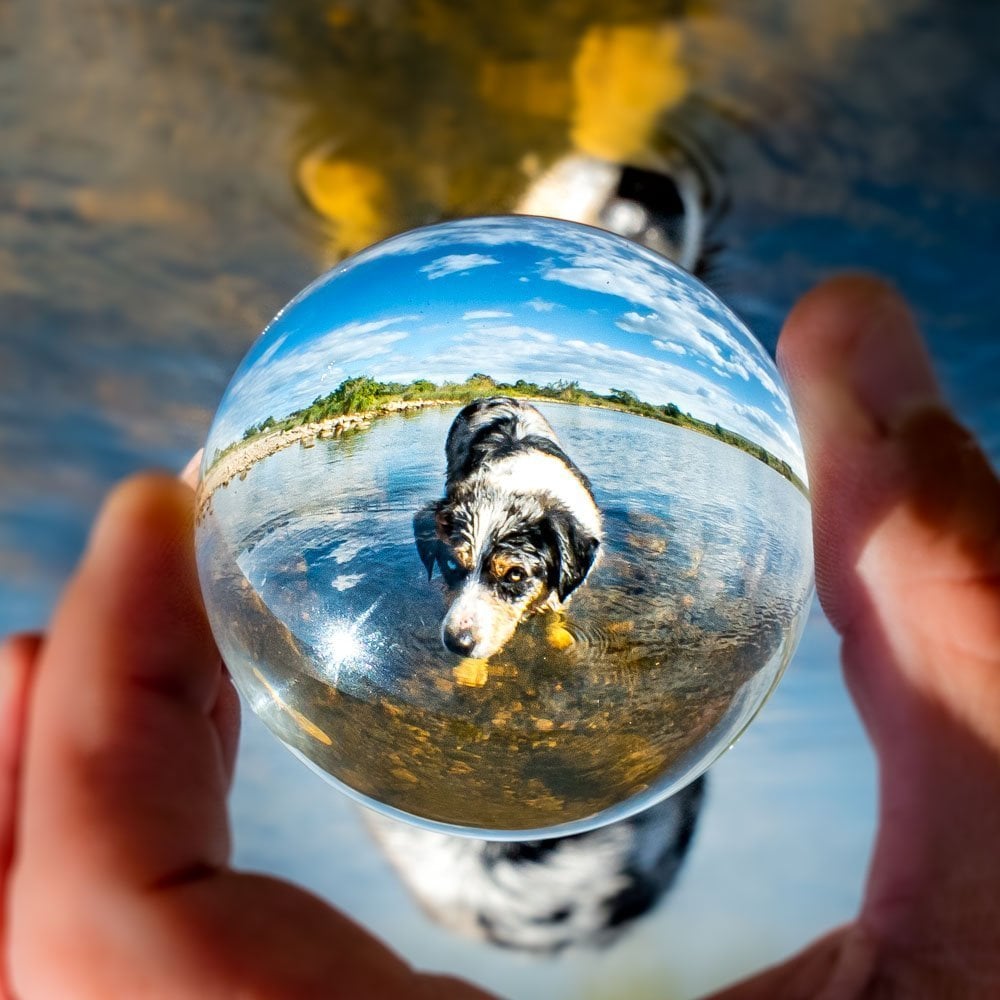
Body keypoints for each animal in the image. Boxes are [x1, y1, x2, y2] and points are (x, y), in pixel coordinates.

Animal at [414, 394, 600, 660]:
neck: (523, 484)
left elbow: (555, 617)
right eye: (451, 564)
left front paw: (559, 639)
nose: (457, 644)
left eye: (515, 574)